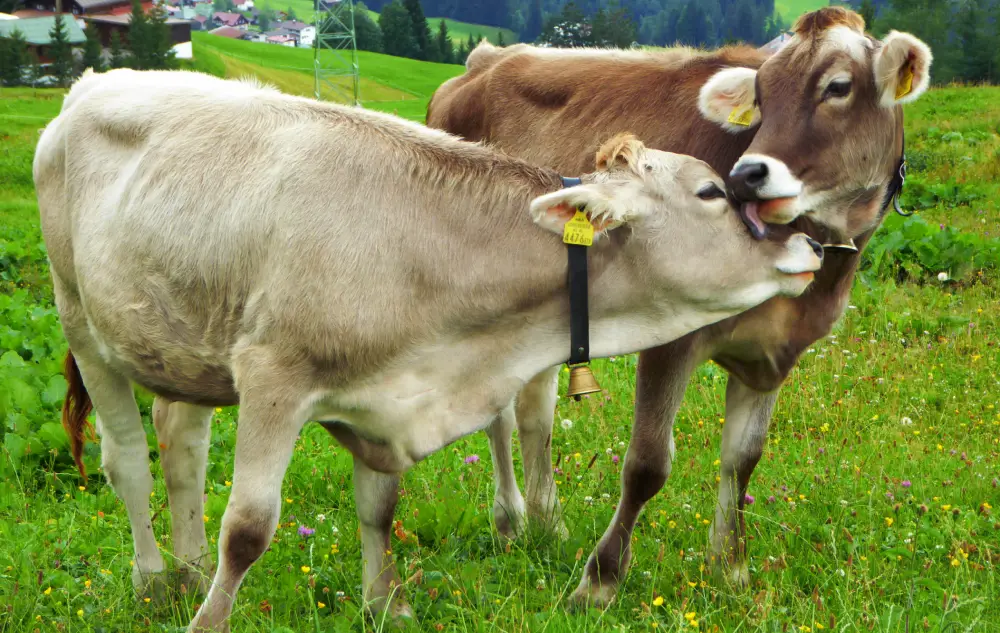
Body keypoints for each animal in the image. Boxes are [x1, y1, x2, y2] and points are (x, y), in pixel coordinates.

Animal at [37, 66, 820, 628]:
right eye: (712, 192)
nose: (810, 244)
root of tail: (93, 82)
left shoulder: (382, 395)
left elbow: (379, 507)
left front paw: (385, 603)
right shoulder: (273, 376)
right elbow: (250, 528)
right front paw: (211, 621)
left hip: (182, 341)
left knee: (181, 444)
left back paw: (190, 567)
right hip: (81, 319)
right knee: (127, 459)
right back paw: (153, 580)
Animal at [424, 6, 928, 608]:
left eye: (838, 86)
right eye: (763, 93)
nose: (746, 176)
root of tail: (486, 58)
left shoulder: (775, 355)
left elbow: (743, 460)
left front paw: (729, 567)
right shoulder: (671, 336)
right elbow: (647, 465)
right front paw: (601, 580)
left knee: (533, 411)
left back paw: (549, 523)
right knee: (498, 415)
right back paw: (511, 521)